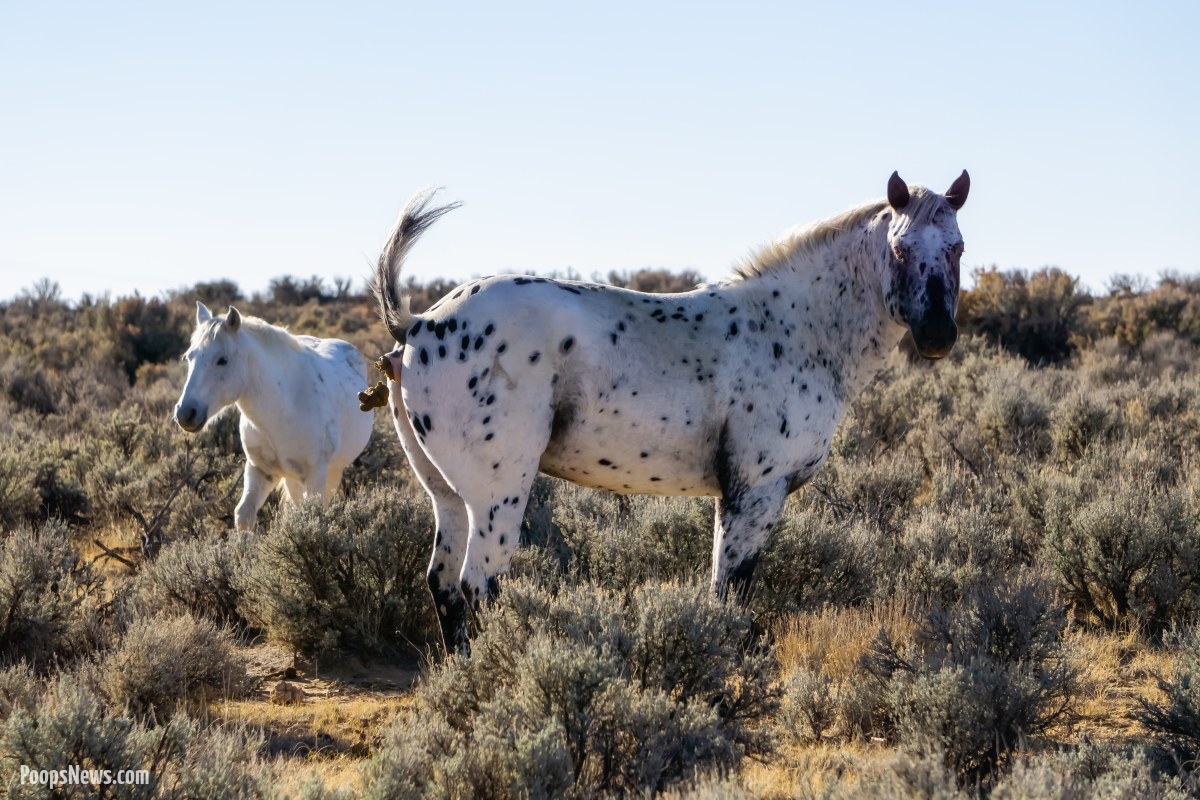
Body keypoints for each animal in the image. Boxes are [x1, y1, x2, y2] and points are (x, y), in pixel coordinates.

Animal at [175, 303, 374, 527]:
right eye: (189, 357)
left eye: (222, 360)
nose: (185, 413)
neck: (284, 409)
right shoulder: (260, 469)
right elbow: (244, 513)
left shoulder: (316, 473)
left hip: (332, 471)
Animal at [369, 172, 969, 652]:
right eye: (899, 248)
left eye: (958, 248)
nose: (938, 335)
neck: (796, 328)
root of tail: (419, 324)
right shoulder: (754, 495)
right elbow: (729, 593)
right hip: (497, 497)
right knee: (479, 588)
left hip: (446, 497)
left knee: (445, 586)